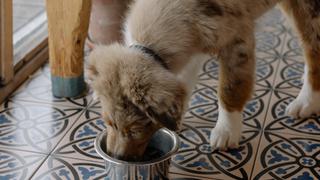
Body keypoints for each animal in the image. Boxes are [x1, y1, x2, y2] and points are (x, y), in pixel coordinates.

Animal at [87, 0, 320, 160]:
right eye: (108, 122)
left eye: (135, 129)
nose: (117, 157)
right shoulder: (194, 42)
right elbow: (184, 80)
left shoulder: (237, 40)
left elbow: (230, 89)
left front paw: (226, 131)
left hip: (309, 8)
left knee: (313, 48)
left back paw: (306, 102)